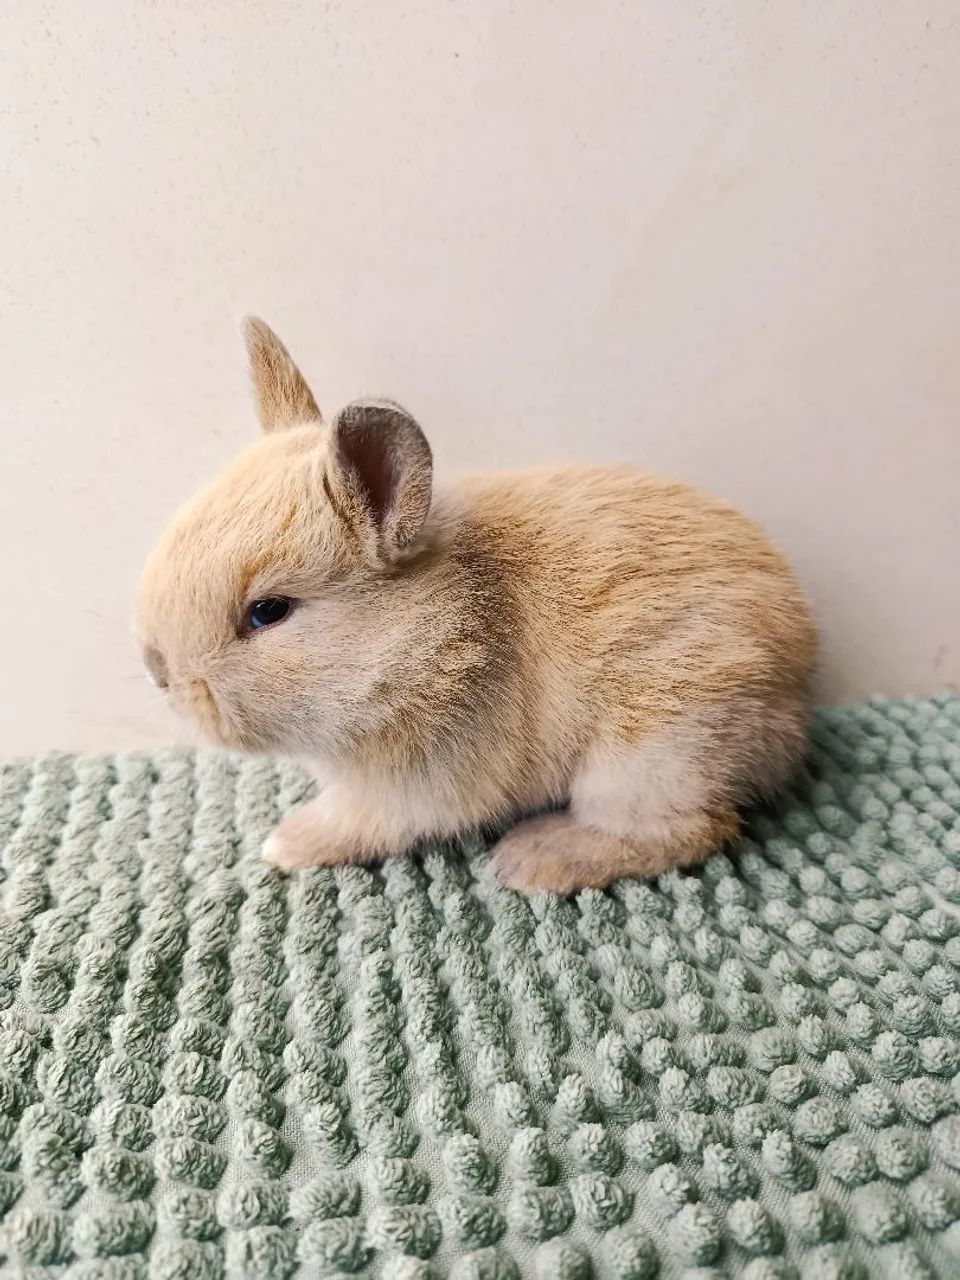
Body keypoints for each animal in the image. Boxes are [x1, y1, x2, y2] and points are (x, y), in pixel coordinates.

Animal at [137, 318, 817, 894]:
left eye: (269, 611)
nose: (159, 673)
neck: (432, 632)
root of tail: (797, 691)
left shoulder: (411, 790)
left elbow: (352, 822)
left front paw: (286, 844)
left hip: (651, 754)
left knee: (688, 829)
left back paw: (534, 860)